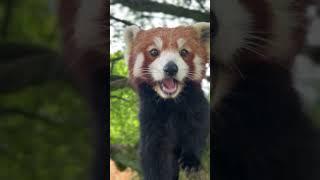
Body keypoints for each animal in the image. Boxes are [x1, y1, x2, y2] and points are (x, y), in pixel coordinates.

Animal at [124, 23, 210, 179]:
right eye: (154, 52)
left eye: (183, 52)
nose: (171, 68)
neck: (170, 102)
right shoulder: (150, 117)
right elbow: (155, 154)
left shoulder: (196, 105)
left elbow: (197, 129)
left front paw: (190, 161)